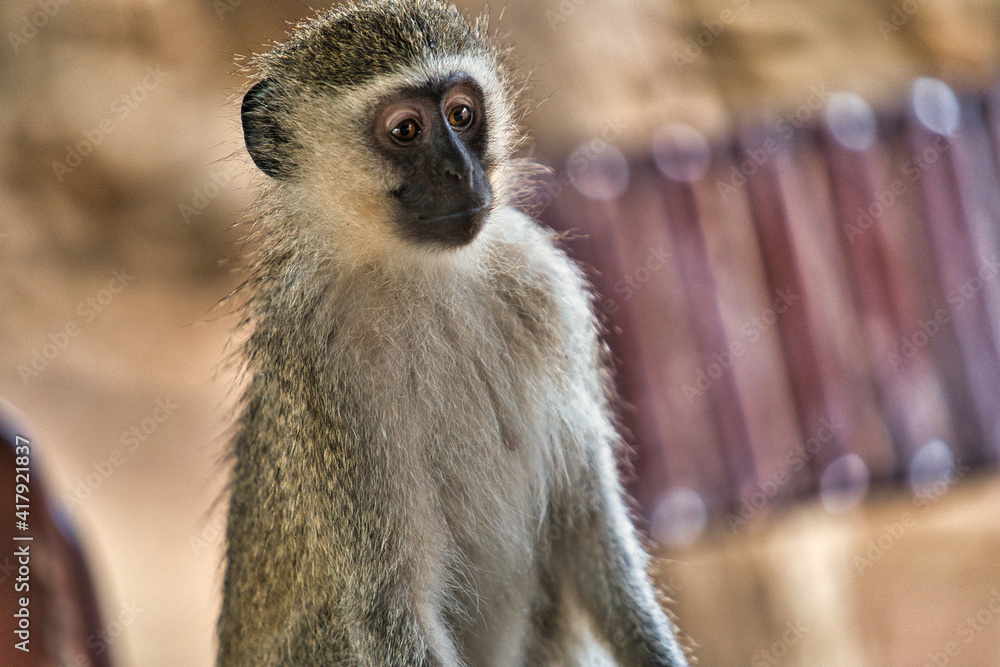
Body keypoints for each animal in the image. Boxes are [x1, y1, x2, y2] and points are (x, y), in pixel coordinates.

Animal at [219, 1, 690, 665]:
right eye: (406, 131)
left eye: (462, 115)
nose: (461, 171)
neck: (423, 273)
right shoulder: (320, 369)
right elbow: (390, 602)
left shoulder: (545, 284)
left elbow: (584, 522)